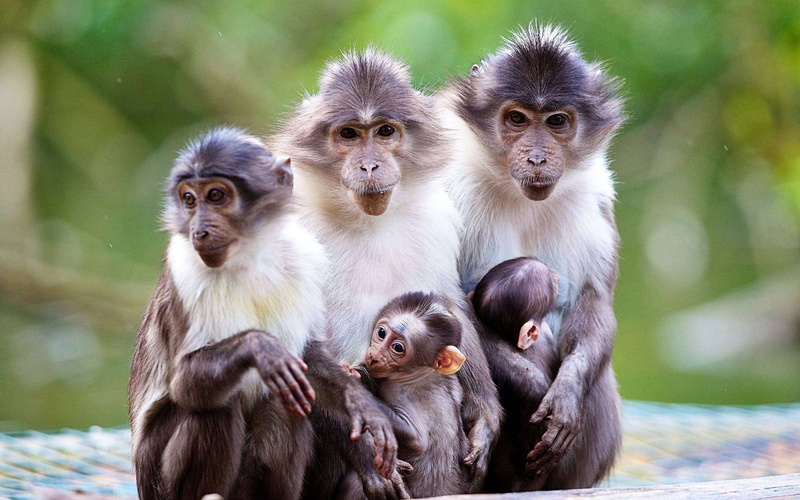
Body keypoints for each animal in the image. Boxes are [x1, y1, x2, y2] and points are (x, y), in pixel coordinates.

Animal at [128, 127, 397, 500]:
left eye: (216, 196)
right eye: (189, 200)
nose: (199, 230)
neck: (249, 257)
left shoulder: (307, 255)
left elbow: (309, 359)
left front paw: (361, 405)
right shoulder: (184, 270)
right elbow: (184, 383)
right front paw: (260, 347)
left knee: (285, 401)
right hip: (157, 479)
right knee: (217, 406)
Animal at [270, 48, 501, 498]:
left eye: (384, 131)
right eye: (349, 135)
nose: (370, 166)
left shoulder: (436, 214)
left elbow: (449, 304)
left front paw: (484, 420)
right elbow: (298, 350)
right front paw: (368, 457)